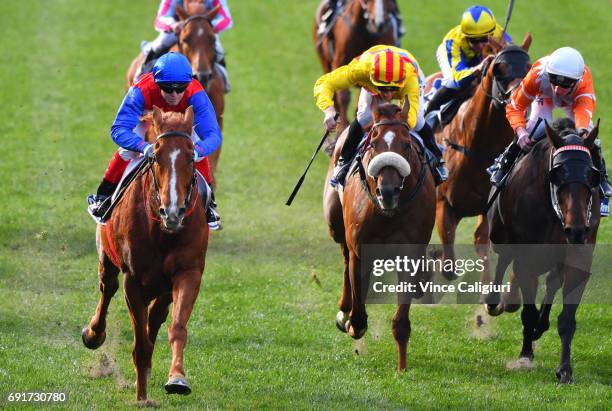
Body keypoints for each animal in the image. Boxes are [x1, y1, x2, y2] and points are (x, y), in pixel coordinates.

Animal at [81, 106, 208, 402]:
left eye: (191, 156)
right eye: (156, 156)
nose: (172, 211)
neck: (162, 230)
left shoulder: (188, 273)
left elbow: (176, 328)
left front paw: (177, 378)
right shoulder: (133, 280)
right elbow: (140, 342)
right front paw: (141, 398)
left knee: (157, 316)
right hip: (107, 256)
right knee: (107, 288)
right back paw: (93, 333)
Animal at [322, 98, 438, 372]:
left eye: (406, 144)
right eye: (373, 144)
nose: (388, 191)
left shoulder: (410, 252)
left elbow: (401, 321)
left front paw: (402, 367)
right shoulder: (359, 250)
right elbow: (358, 319)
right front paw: (350, 320)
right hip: (335, 223)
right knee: (345, 260)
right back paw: (344, 310)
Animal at [430, 35, 532, 292]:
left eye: (529, 68)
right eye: (499, 69)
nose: (519, 101)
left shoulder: (488, 207)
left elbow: (481, 241)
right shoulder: (444, 204)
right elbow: (447, 262)